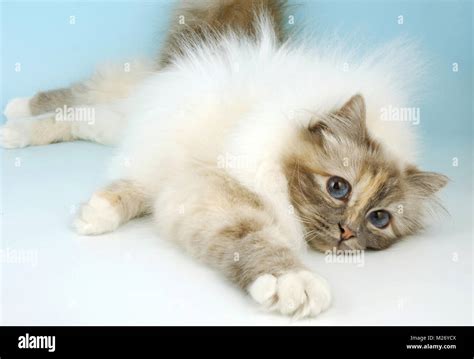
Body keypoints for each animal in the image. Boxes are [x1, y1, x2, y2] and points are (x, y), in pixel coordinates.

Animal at [0, 0, 446, 320]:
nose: (347, 232)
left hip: (120, 123)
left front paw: (96, 213)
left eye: (379, 219)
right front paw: (295, 282)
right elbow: (258, 239)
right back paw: (15, 116)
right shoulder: (220, 188)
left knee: (76, 118)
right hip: (129, 106)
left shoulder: (189, 188)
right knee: (69, 100)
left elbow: (138, 192)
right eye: (338, 187)